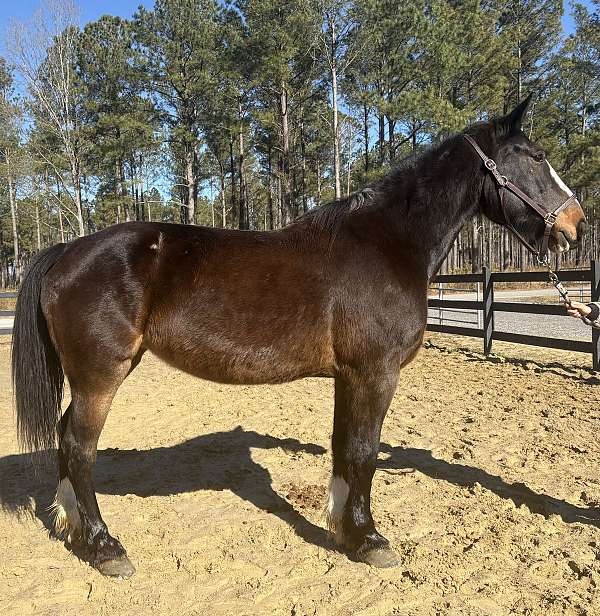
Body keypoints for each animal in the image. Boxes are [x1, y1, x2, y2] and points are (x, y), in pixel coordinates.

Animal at [10, 94, 584, 576]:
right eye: (534, 157)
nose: (575, 225)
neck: (387, 242)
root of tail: (65, 250)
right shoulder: (375, 374)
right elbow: (365, 450)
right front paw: (370, 539)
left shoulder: (348, 377)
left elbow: (343, 446)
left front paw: (344, 529)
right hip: (100, 377)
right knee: (79, 448)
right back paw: (105, 546)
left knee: (65, 440)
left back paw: (72, 525)